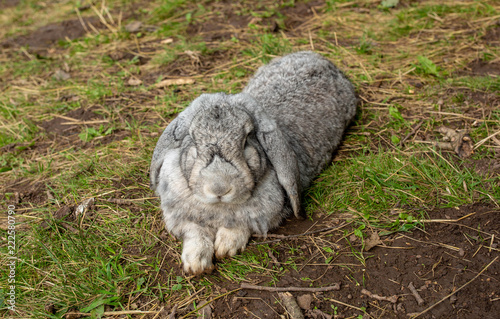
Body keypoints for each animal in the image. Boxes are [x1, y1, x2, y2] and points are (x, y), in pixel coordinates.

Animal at [150, 50, 358, 276]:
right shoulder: (186, 217)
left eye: (246, 140)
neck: (220, 207)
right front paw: (196, 265)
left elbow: (240, 227)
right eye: (193, 140)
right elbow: (196, 233)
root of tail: (318, 58)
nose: (219, 189)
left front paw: (225, 247)